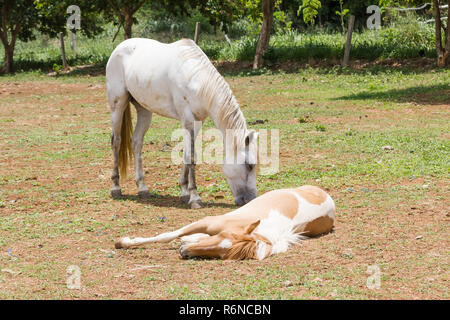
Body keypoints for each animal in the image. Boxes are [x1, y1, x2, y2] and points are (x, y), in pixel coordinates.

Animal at [106, 38, 260, 208]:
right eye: (249, 165)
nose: (252, 200)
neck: (196, 79)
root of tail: (120, 46)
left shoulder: (198, 122)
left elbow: (186, 155)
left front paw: (185, 192)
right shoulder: (187, 120)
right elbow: (192, 157)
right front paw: (195, 198)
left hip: (144, 110)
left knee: (136, 142)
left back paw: (142, 188)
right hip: (117, 104)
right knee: (116, 141)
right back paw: (116, 188)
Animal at [114, 185, 336, 260]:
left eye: (223, 254)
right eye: (222, 236)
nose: (184, 254)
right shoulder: (205, 221)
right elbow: (166, 236)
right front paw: (123, 242)